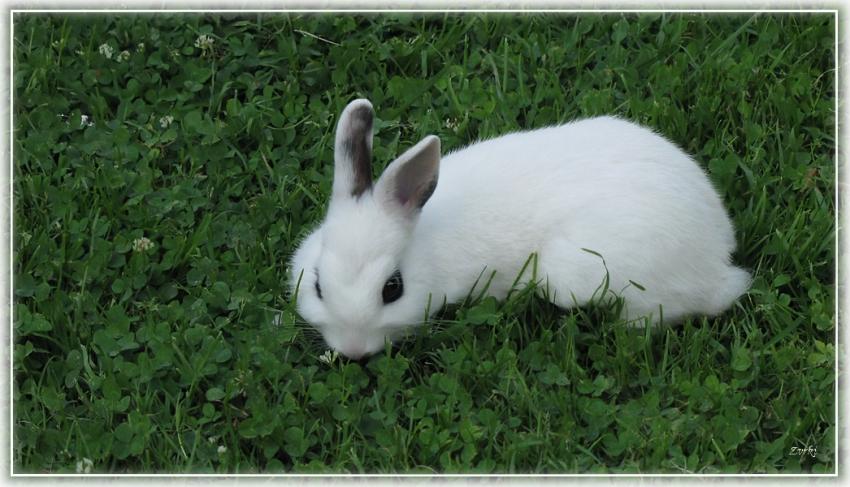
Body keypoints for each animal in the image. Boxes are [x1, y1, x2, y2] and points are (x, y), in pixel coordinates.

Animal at [289, 99, 751, 359]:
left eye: (392, 289)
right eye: (317, 286)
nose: (353, 351)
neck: (423, 233)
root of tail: (718, 260)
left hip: (576, 274)